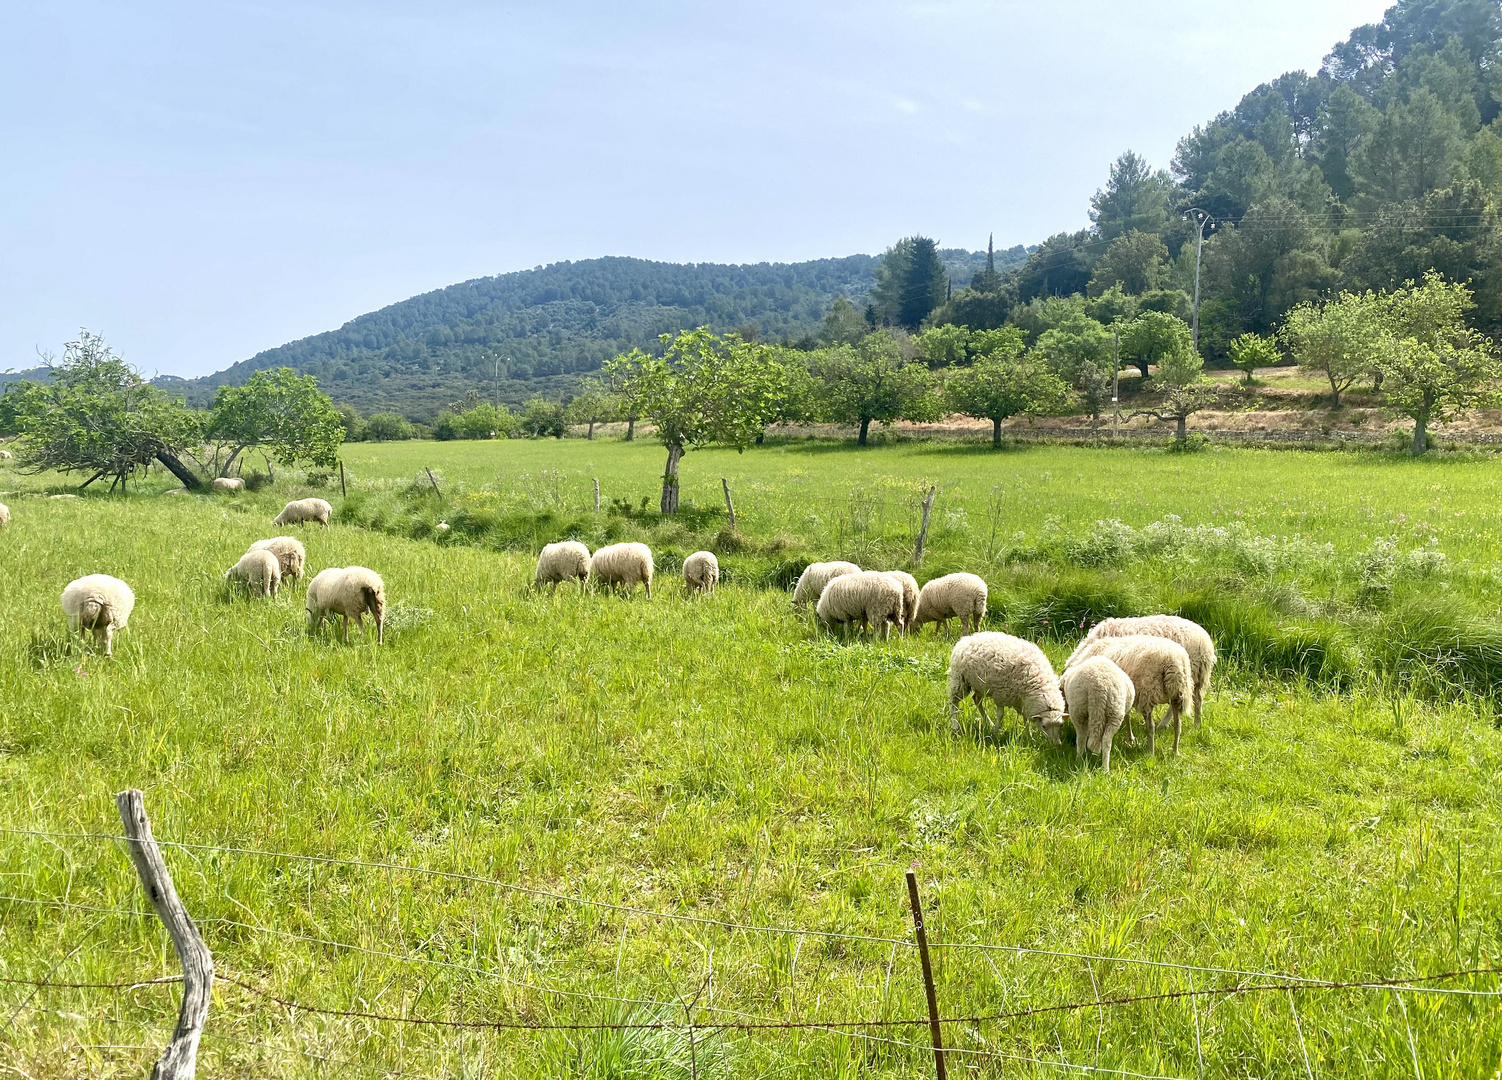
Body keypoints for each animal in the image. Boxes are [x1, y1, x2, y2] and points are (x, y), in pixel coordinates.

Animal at [1063, 615, 1213, 727]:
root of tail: (1205, 641)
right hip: (1194, 677)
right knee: (1195, 699)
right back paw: (1192, 725)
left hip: (1187, 675)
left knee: (1189, 701)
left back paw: (1184, 724)